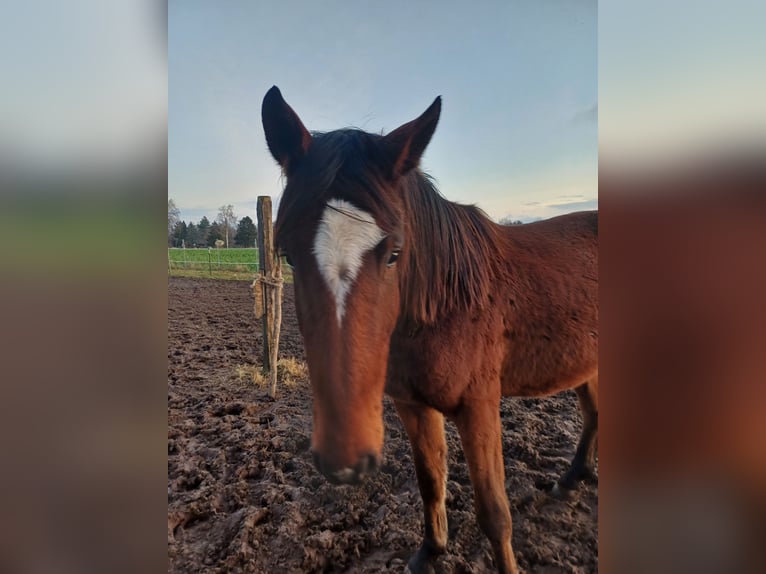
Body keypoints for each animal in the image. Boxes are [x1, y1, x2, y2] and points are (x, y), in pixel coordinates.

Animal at [262, 86, 600, 574]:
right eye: (287, 254)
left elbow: (494, 512)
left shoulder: (479, 408)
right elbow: (430, 481)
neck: (446, 307)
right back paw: (573, 478)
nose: (344, 461)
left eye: (394, 253)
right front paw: (431, 551)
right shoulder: (412, 405)